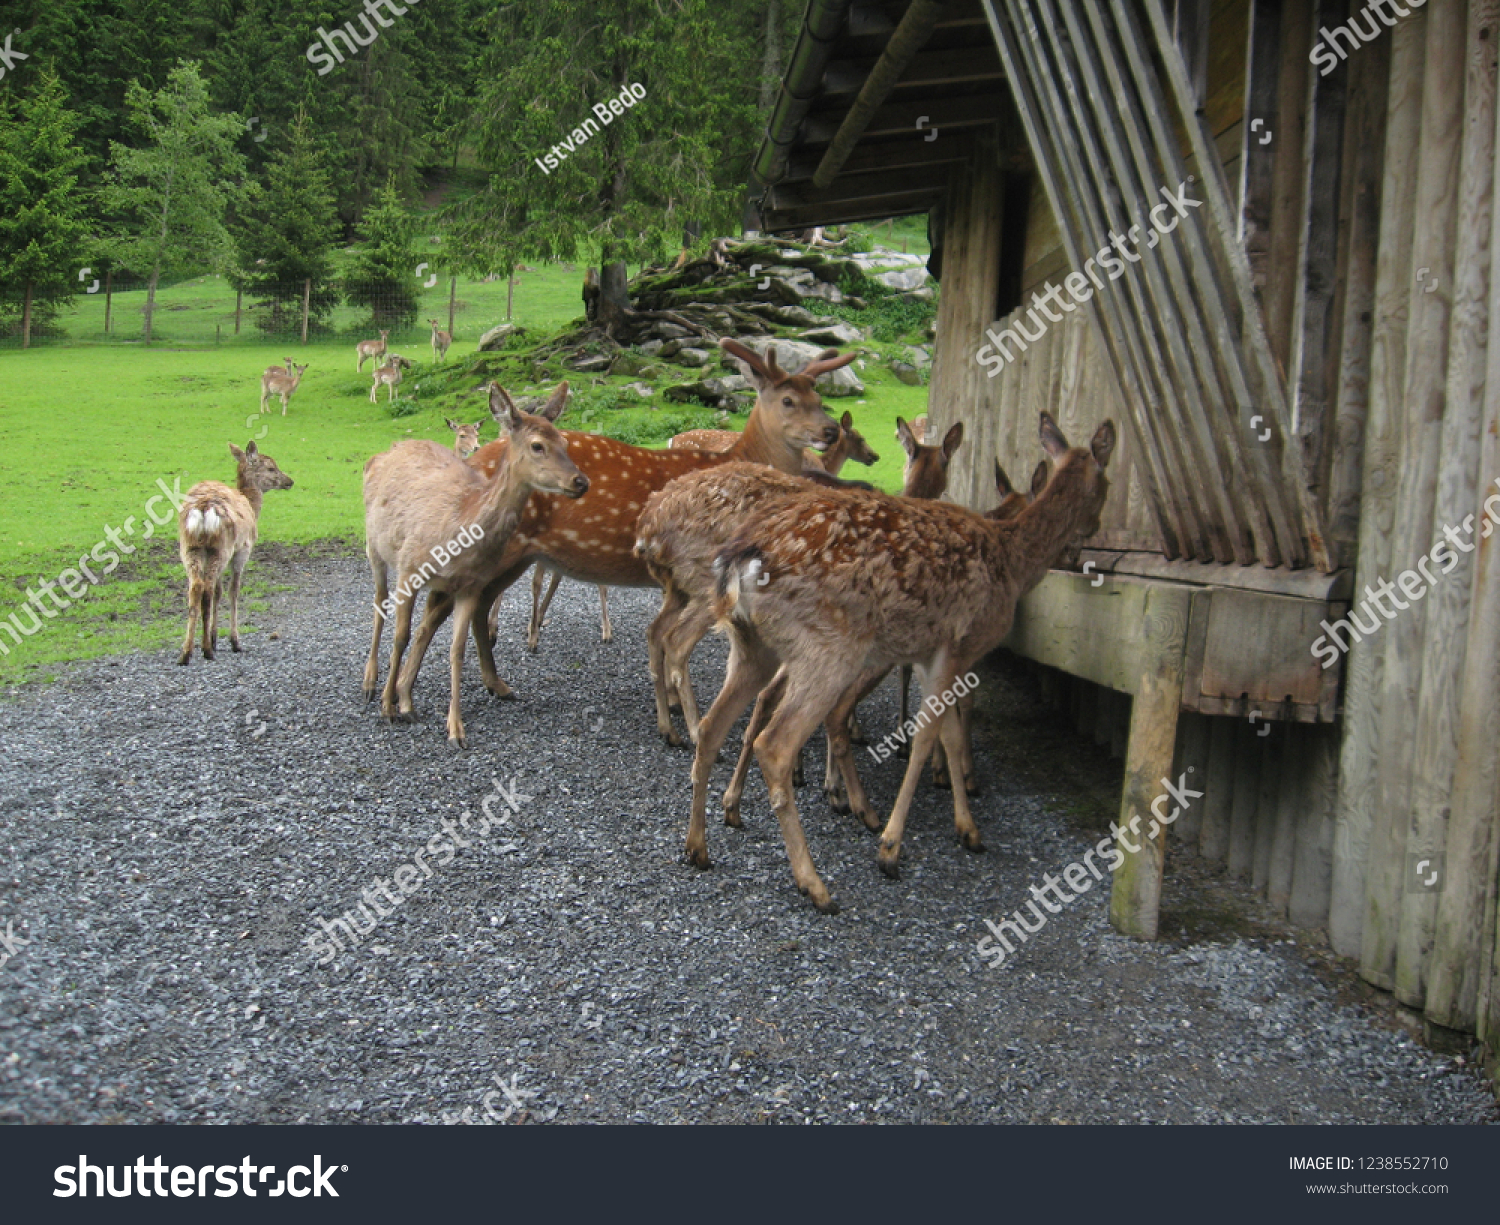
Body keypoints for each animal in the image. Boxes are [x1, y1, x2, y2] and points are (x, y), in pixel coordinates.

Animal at [175, 440, 292, 665]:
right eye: (271, 468)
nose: (289, 481)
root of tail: (203, 509)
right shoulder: (243, 550)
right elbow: (233, 590)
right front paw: (233, 642)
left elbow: (219, 591)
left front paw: (214, 638)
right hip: (221, 547)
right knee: (206, 588)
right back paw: (206, 650)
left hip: (189, 547)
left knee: (196, 587)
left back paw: (186, 652)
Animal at [363, 382, 585, 746]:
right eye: (537, 445)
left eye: (565, 443)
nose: (581, 482)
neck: (459, 525)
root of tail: (384, 452)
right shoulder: (409, 568)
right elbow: (401, 635)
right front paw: (387, 707)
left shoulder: (470, 585)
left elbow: (456, 649)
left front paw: (455, 728)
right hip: (374, 548)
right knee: (379, 603)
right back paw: (371, 684)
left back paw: (406, 698)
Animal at [387, 337, 858, 716]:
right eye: (787, 400)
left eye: (819, 396)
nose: (829, 431)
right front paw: (675, 706)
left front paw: (671, 702)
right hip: (496, 548)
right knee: (439, 608)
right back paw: (401, 698)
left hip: (515, 555)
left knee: (476, 604)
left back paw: (493, 684)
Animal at [681, 410, 1116, 905]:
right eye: (1107, 481)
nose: (1093, 532)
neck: (1014, 561)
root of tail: (741, 557)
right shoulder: (960, 645)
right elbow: (929, 736)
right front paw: (892, 847)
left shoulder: (931, 656)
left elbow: (948, 734)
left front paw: (967, 827)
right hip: (828, 647)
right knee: (775, 745)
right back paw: (814, 882)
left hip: (753, 645)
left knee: (715, 726)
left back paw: (700, 844)